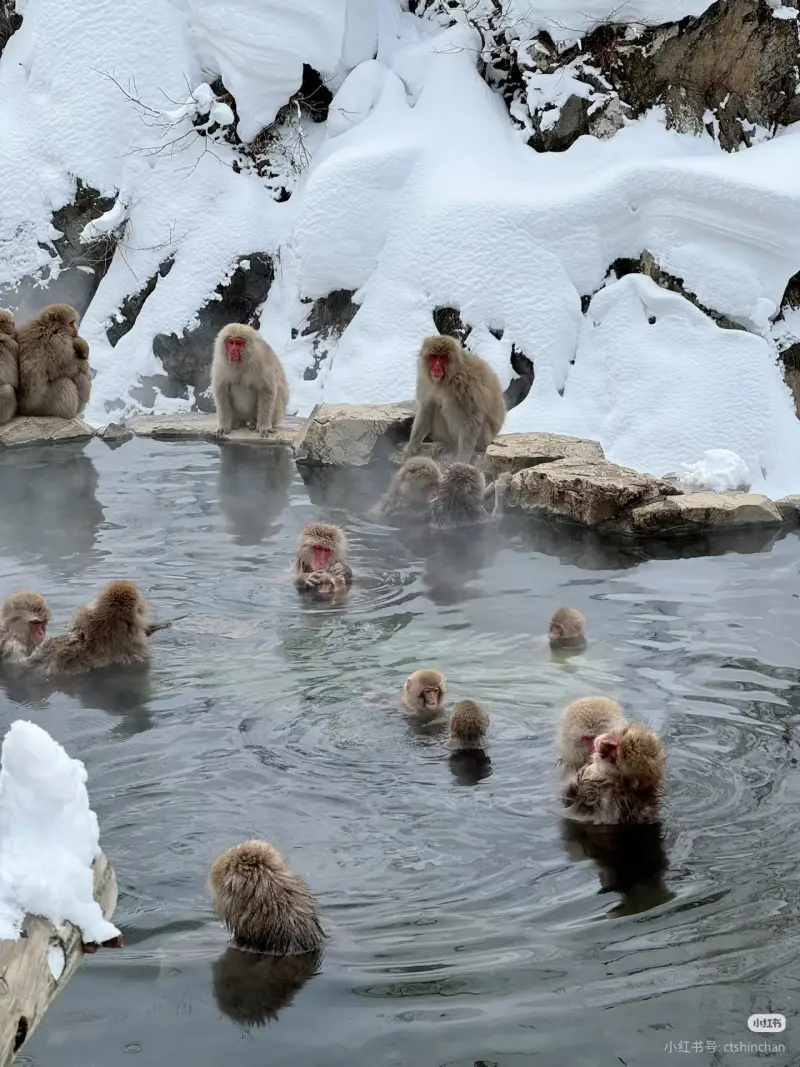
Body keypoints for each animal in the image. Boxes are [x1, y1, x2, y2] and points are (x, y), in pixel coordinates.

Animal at [405, 335, 506, 464]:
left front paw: (463, 458)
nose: (436, 368)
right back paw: (445, 444)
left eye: (443, 358)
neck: (446, 378)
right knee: (437, 406)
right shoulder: (426, 381)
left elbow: (472, 417)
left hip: (484, 438)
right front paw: (412, 445)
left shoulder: (464, 383)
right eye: (434, 357)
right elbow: (426, 407)